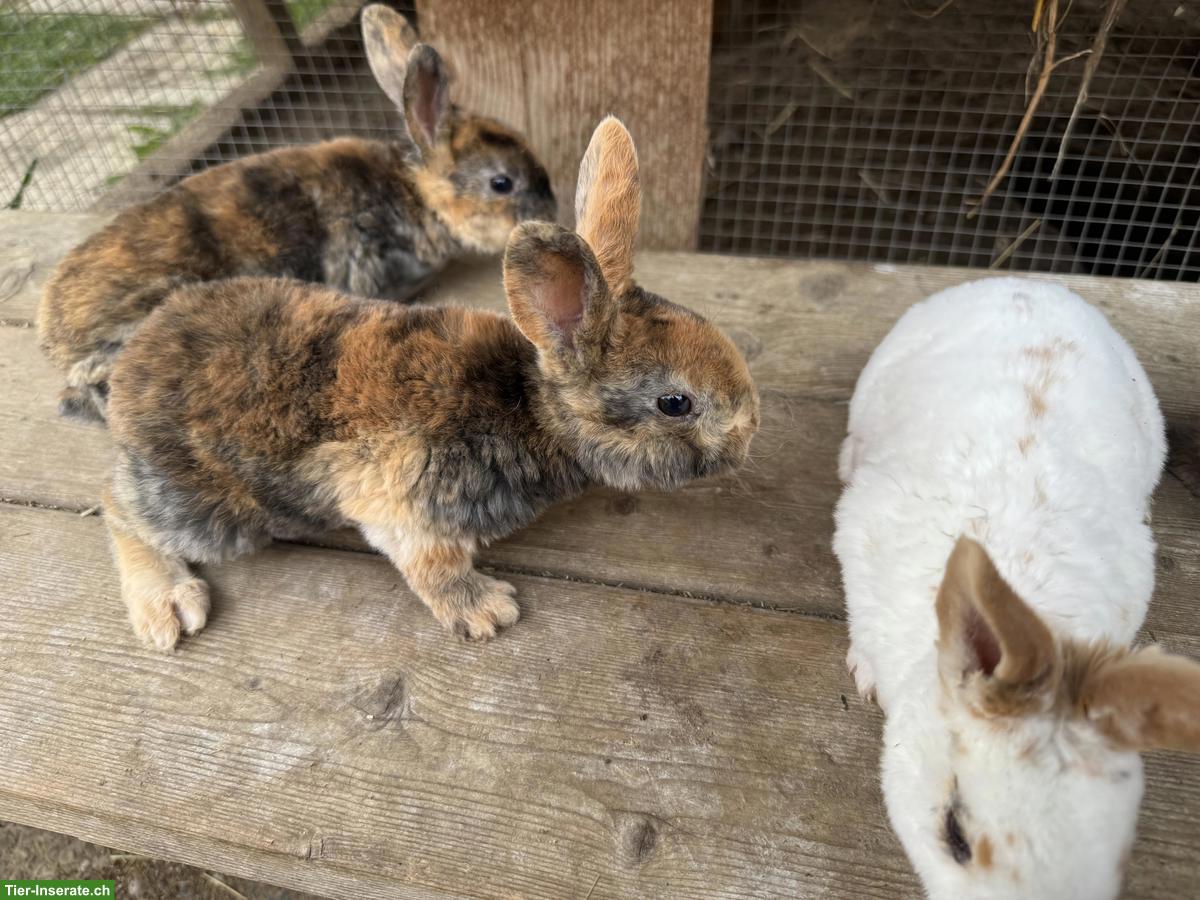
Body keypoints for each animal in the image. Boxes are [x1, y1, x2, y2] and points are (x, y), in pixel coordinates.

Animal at [100, 116, 760, 651]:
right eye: (675, 403)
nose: (750, 431)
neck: (530, 408)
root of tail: (134, 360)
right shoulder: (400, 503)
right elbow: (432, 567)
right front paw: (489, 613)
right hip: (208, 510)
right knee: (119, 511)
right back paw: (167, 608)